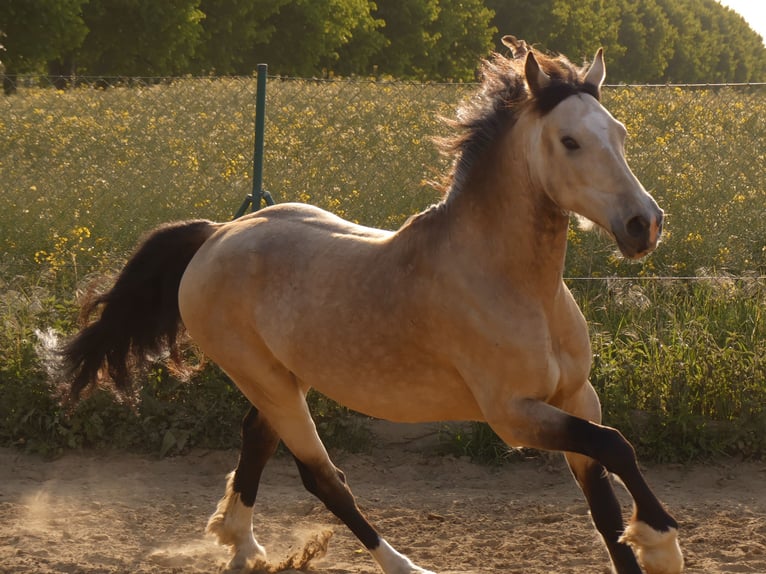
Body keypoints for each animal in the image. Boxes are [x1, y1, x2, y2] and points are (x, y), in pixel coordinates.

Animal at [59, 36, 683, 574]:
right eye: (569, 141)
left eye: (619, 133)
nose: (644, 225)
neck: (517, 286)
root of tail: (217, 233)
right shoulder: (513, 414)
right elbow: (617, 445)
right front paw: (662, 543)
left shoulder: (576, 395)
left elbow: (603, 500)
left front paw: (644, 545)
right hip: (265, 378)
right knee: (322, 477)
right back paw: (403, 565)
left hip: (283, 376)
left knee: (257, 439)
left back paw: (241, 544)